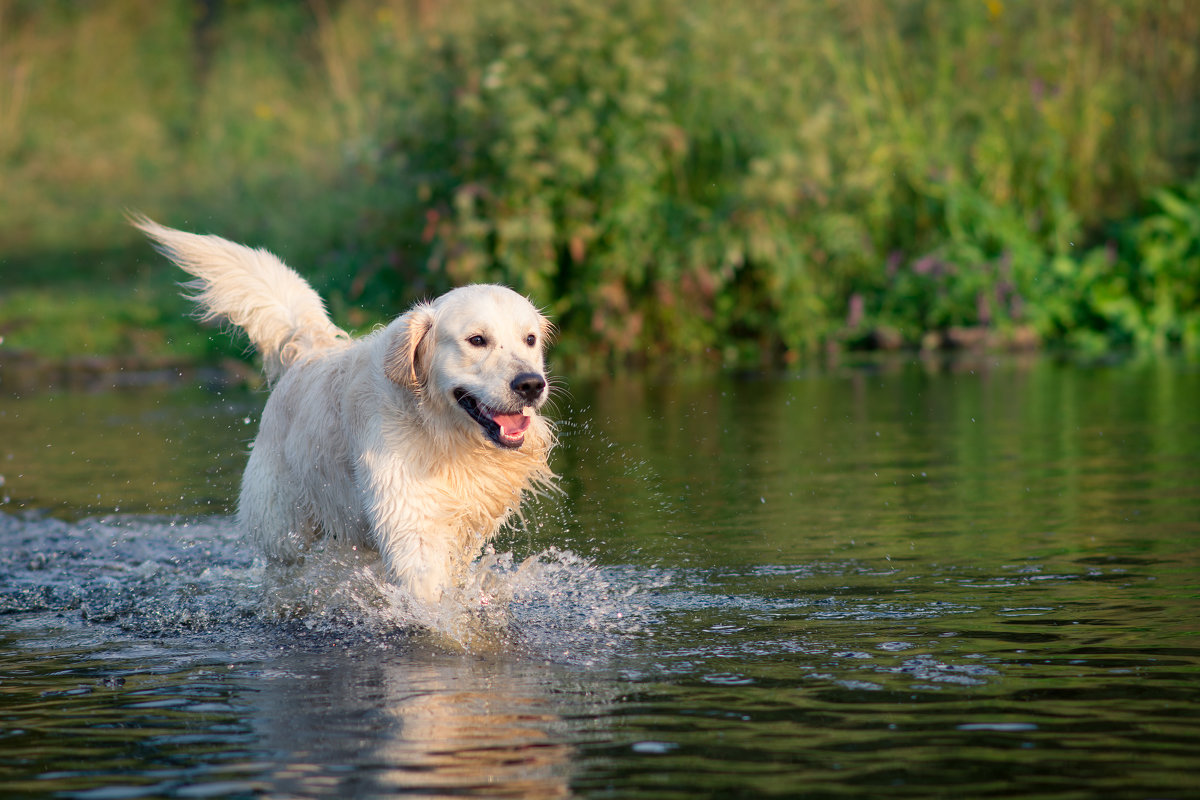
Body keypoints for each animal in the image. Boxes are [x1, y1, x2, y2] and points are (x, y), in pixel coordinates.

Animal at [132, 215, 556, 604]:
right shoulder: (408, 516)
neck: (441, 432)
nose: (531, 384)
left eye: (530, 339)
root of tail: (309, 351)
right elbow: (427, 592)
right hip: (284, 530)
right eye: (477, 340)